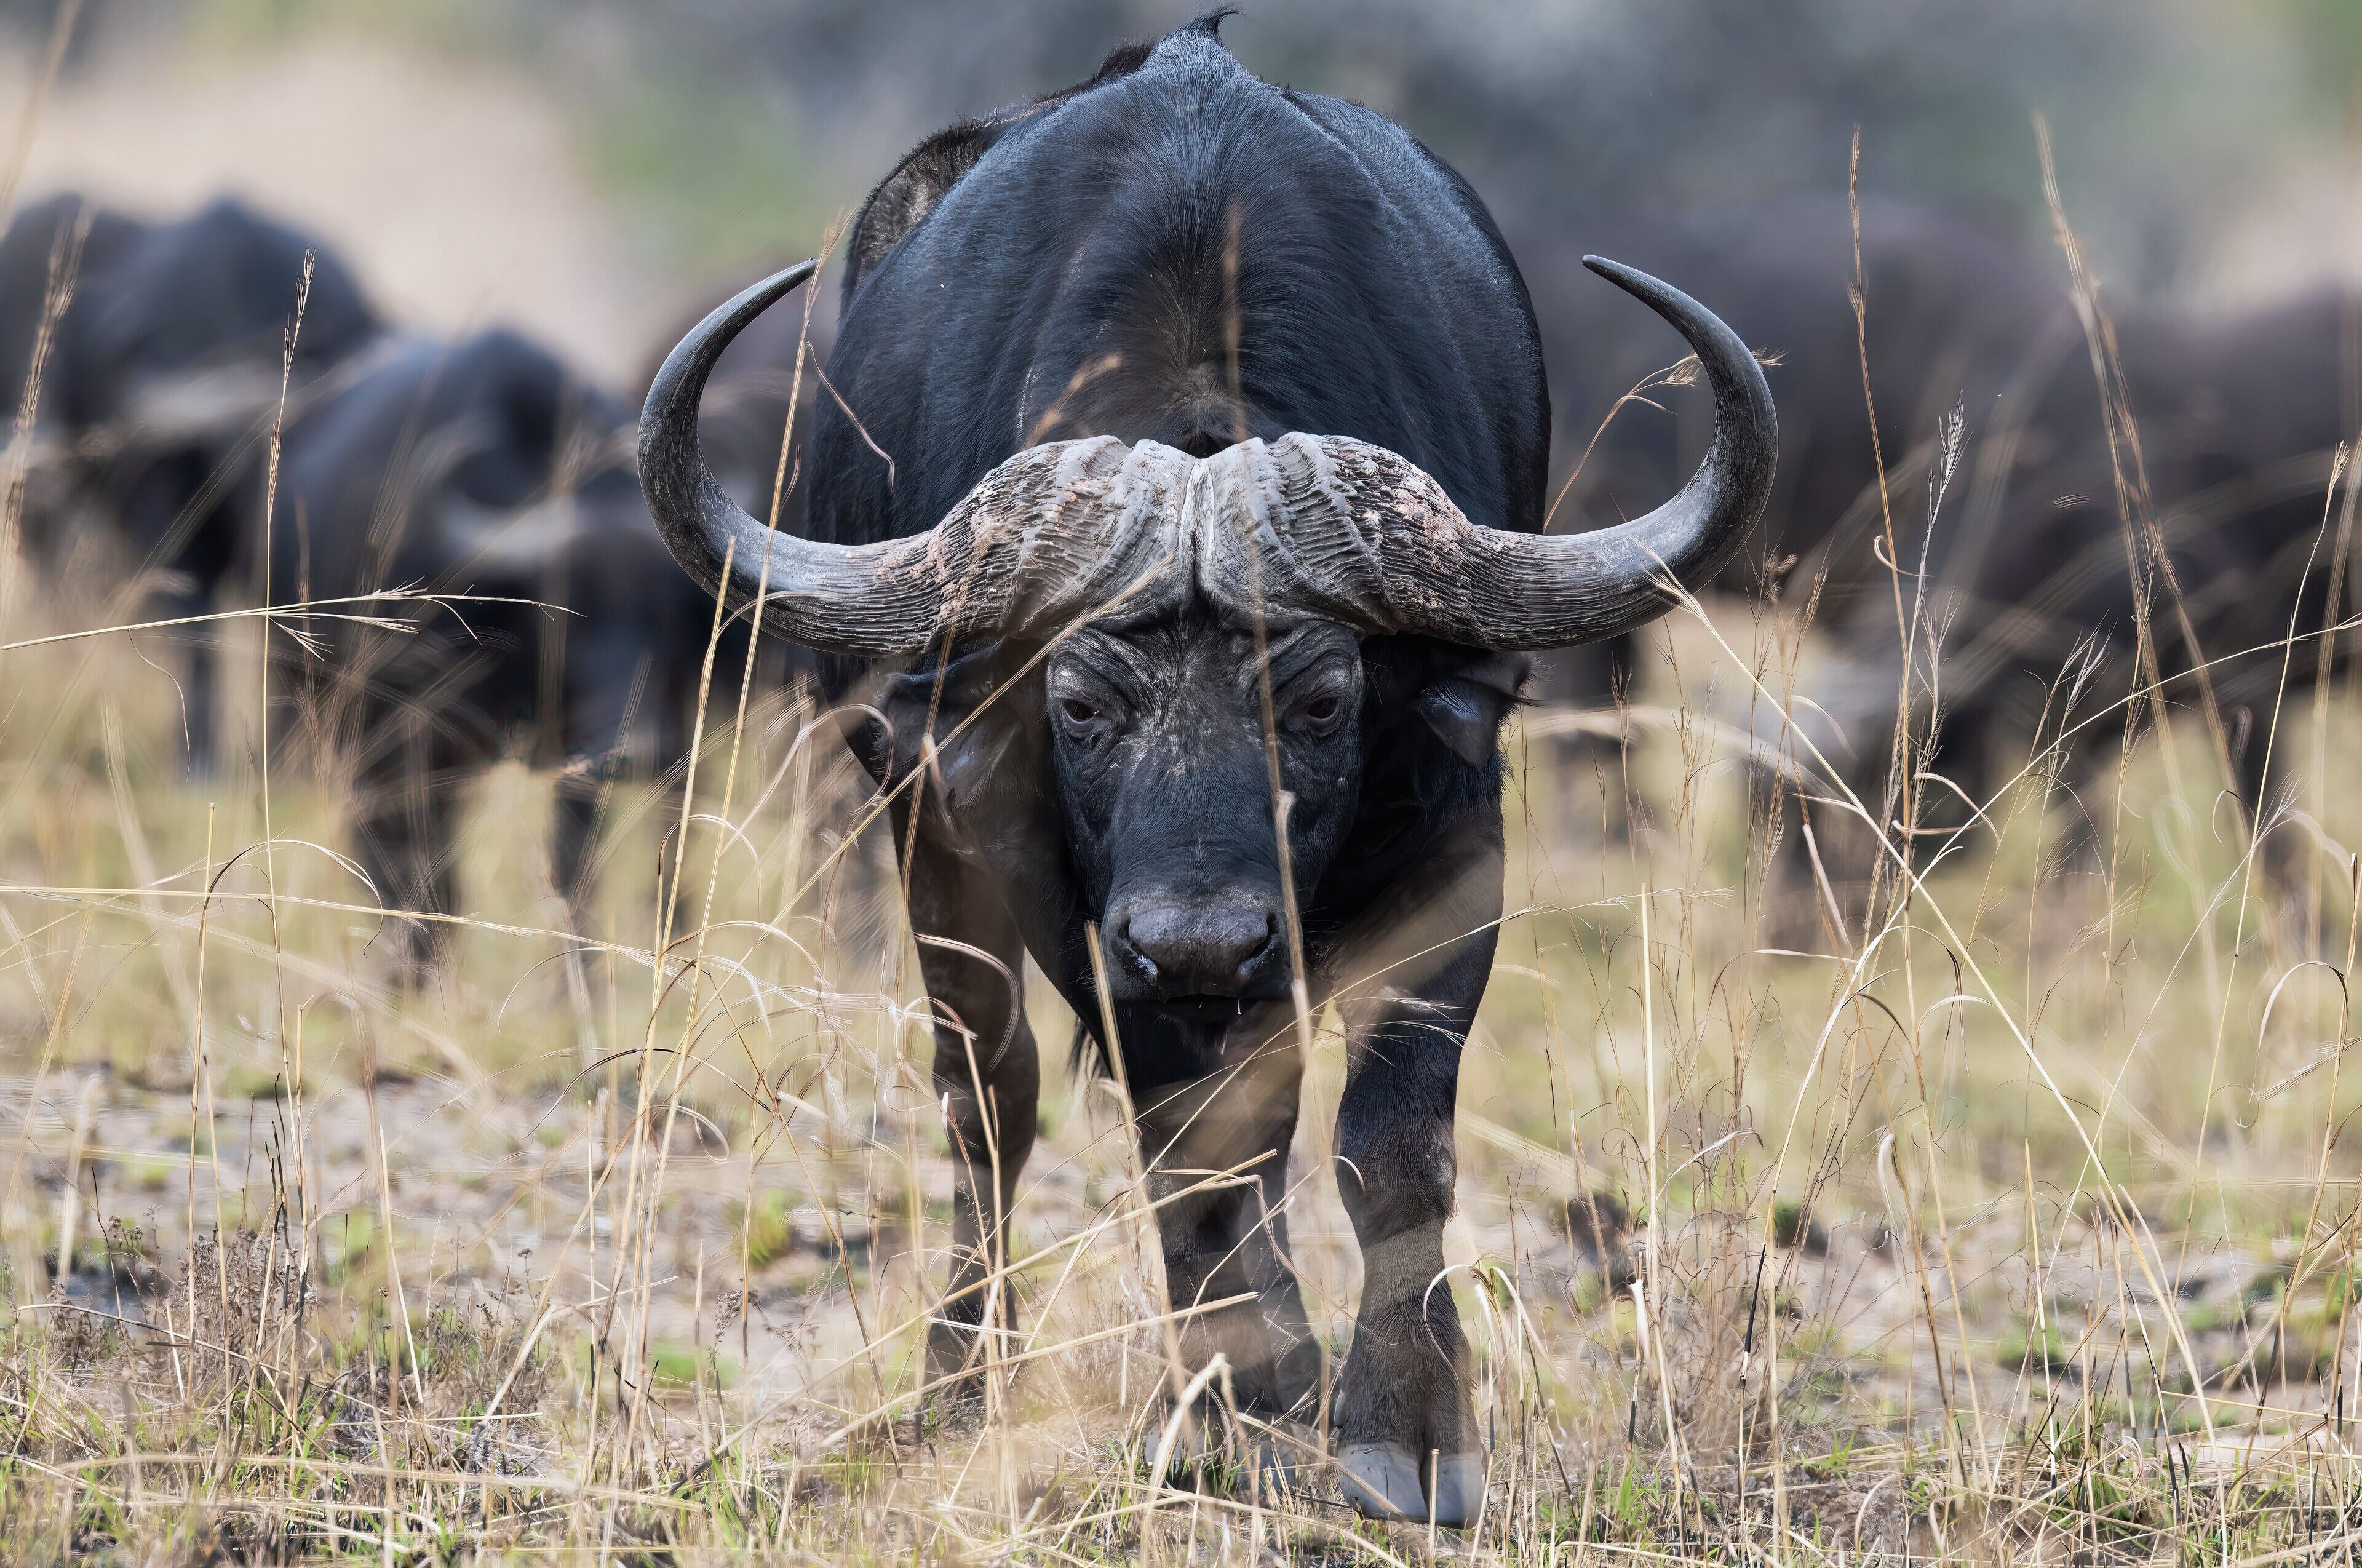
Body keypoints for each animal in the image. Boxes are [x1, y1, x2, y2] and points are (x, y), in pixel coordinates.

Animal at [639, 22, 1774, 1524]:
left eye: (1322, 697)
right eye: (1078, 701)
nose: (1198, 938)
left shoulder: (1455, 835)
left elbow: (1389, 1138)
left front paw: (1405, 1431)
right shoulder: (1064, 889)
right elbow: (1187, 1140)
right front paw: (1248, 1391)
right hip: (920, 830)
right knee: (987, 1100)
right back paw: (963, 1383)